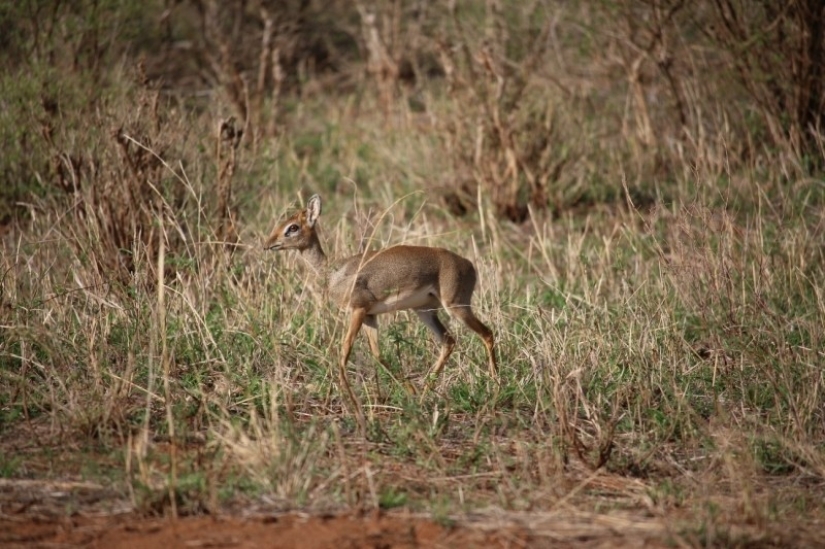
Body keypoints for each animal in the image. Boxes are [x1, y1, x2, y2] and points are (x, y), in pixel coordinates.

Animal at [264, 195, 497, 425]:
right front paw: (410, 392)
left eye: (293, 227)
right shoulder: (370, 316)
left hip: (456, 306)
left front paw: (356, 407)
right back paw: (424, 395)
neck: (335, 273)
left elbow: (344, 352)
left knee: (487, 333)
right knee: (449, 341)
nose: (268, 244)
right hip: (425, 311)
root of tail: (469, 265)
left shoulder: (358, 310)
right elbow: (377, 353)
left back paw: (495, 384)